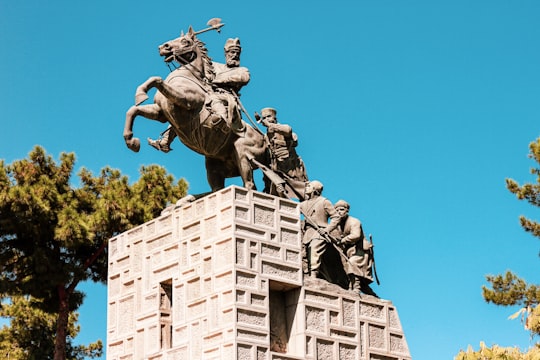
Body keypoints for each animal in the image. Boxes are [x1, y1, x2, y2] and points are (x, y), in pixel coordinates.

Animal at [121, 27, 266, 191]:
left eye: (185, 41)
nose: (163, 47)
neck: (188, 75)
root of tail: (264, 140)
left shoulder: (186, 99)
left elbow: (157, 80)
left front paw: (141, 93)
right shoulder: (160, 112)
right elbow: (133, 110)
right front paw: (132, 141)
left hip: (243, 155)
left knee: (250, 184)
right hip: (214, 165)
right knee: (218, 186)